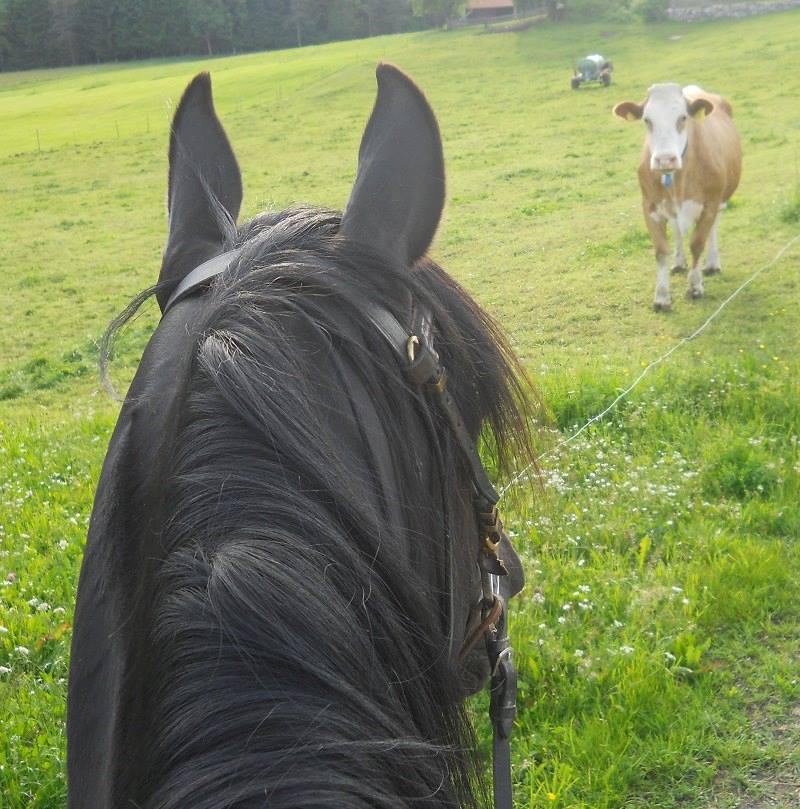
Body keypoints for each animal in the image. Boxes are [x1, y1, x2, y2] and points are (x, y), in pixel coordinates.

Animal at [614, 84, 742, 311]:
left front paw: (695, 286)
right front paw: (662, 296)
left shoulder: (709, 204)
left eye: (683, 117)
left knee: (713, 228)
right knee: (677, 230)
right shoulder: (650, 207)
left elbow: (697, 243)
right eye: (647, 120)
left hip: (721, 200)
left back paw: (712, 263)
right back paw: (679, 262)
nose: (665, 159)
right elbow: (661, 250)